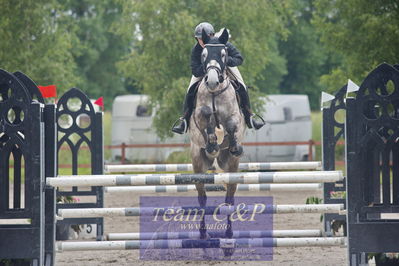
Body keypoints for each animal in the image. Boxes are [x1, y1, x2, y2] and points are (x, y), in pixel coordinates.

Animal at [188, 28, 245, 245]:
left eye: (223, 54)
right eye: (203, 55)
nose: (212, 81)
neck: (214, 92)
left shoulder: (234, 116)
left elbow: (231, 125)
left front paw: (232, 141)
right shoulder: (199, 116)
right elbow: (206, 117)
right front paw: (212, 139)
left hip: (231, 165)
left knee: (229, 198)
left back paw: (228, 235)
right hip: (198, 162)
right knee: (202, 197)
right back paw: (204, 233)